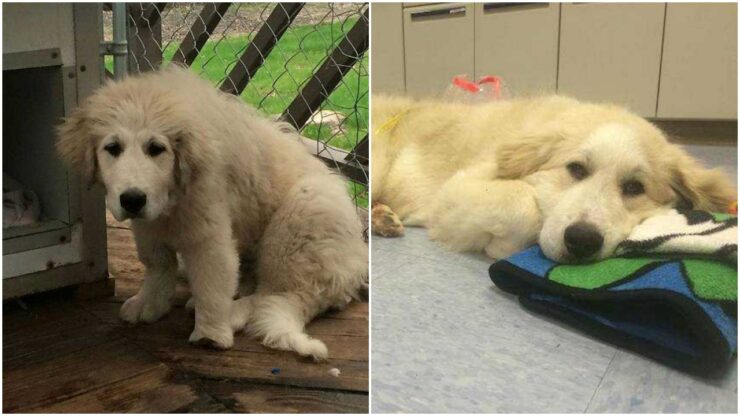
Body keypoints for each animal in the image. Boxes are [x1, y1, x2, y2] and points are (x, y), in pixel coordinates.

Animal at [56, 66, 368, 360]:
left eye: (156, 149)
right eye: (112, 148)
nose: (132, 199)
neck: (173, 198)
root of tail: (354, 269)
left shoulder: (208, 230)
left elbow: (212, 279)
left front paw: (210, 334)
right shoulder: (149, 225)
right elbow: (158, 265)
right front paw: (150, 303)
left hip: (299, 223)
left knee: (277, 293)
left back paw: (232, 313)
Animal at [372, 96, 736, 262]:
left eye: (634, 187)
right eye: (576, 169)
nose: (582, 240)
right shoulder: (454, 191)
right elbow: (522, 203)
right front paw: (502, 245)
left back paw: (382, 218)